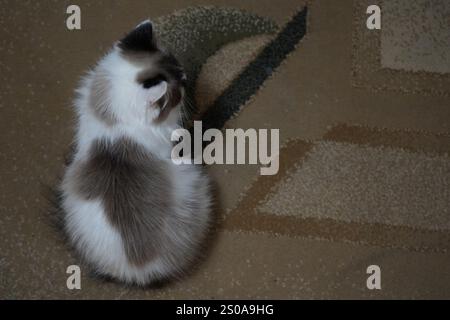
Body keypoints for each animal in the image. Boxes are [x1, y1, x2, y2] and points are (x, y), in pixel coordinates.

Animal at [59, 20, 213, 284]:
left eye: (183, 75)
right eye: (178, 92)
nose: (186, 80)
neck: (113, 122)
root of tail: (140, 271)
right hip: (189, 173)